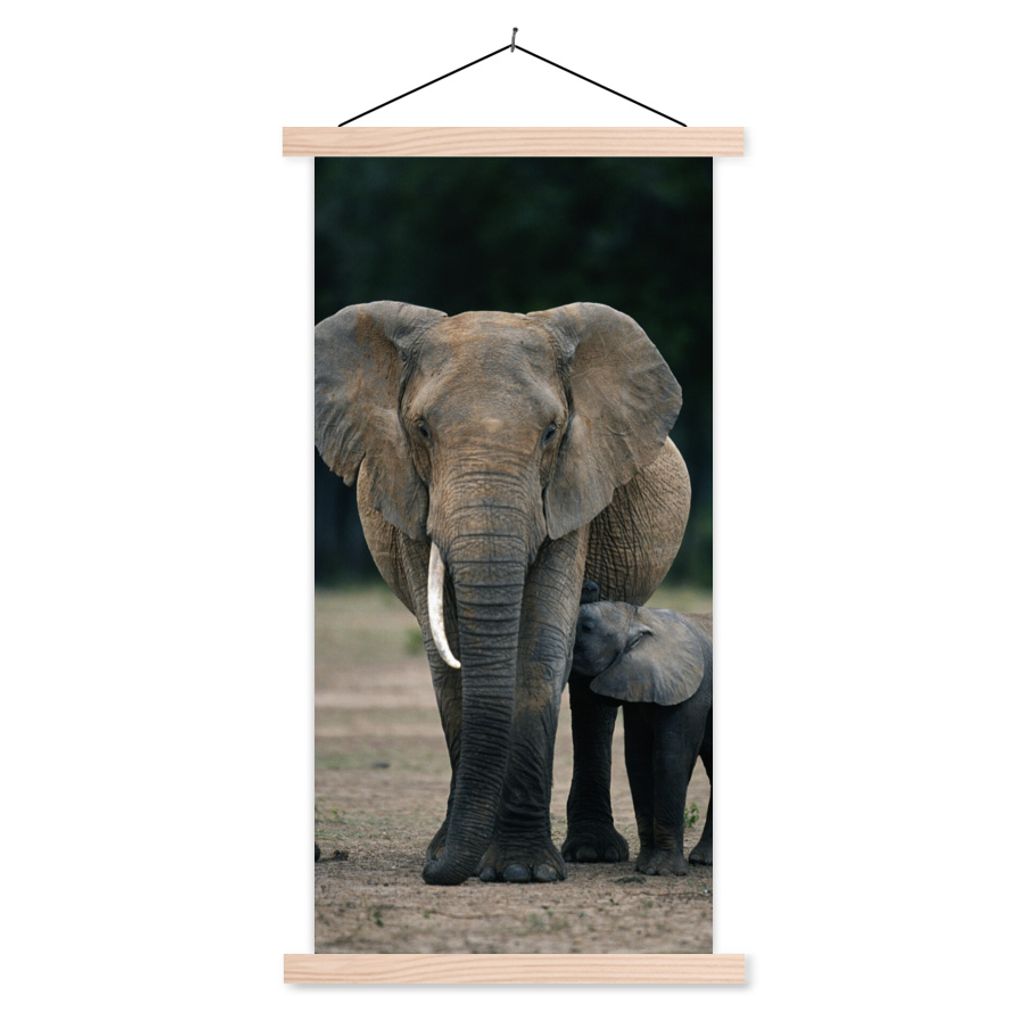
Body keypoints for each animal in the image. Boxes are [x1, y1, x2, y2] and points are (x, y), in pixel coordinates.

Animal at [315, 300, 691, 885]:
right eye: (421, 429)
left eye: (552, 431)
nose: (434, 869)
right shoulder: (410, 498)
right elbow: (446, 659)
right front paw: (457, 856)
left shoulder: (570, 486)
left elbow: (540, 647)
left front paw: (520, 870)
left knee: (593, 690)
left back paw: (592, 852)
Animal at [571, 594, 712, 874]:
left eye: (587, 628)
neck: (639, 618)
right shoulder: (638, 684)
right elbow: (637, 760)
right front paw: (644, 867)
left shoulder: (691, 692)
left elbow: (671, 759)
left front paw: (663, 872)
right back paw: (703, 860)